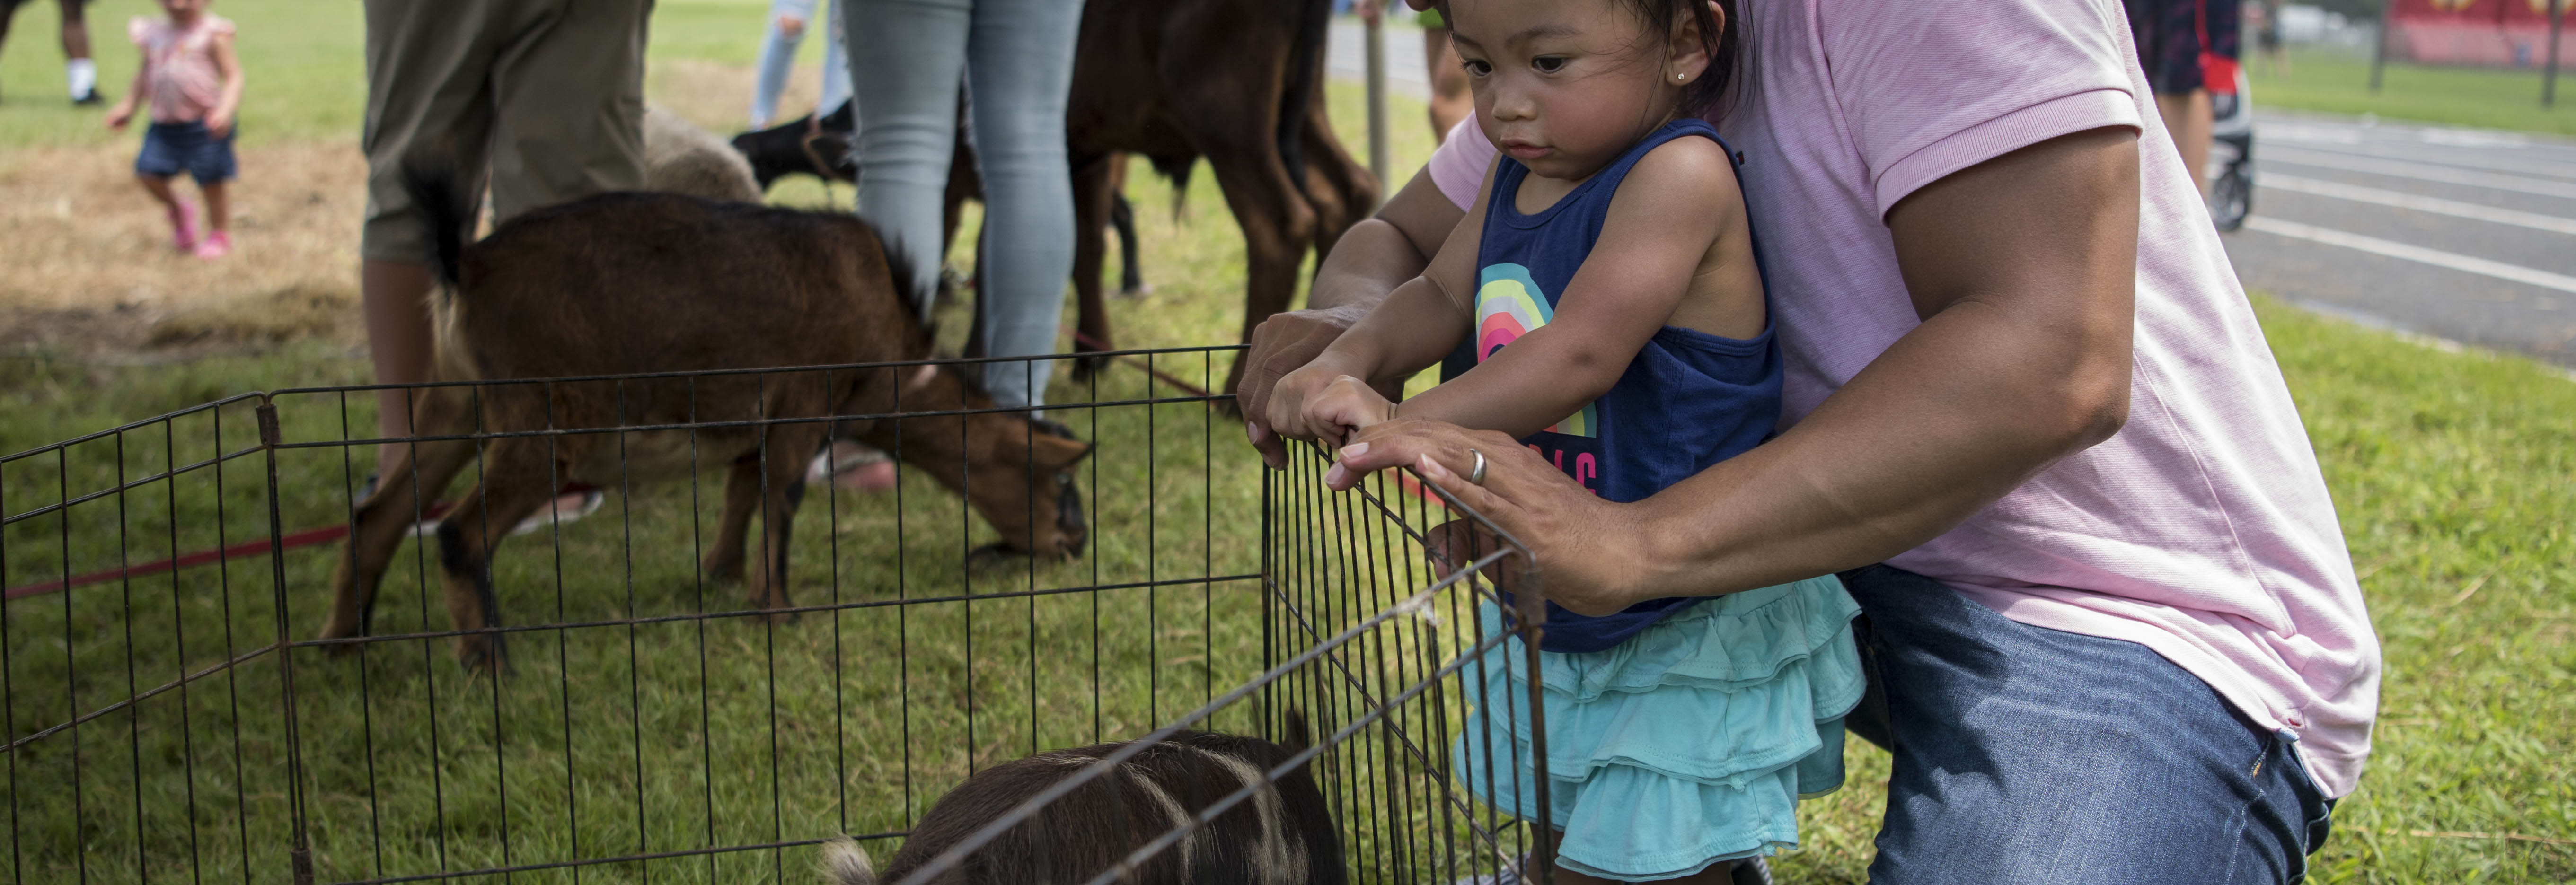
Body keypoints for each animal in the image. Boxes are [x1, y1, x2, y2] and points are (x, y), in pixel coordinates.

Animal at [319, 175, 1087, 669]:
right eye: (1062, 486)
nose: (1073, 545)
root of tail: (465, 262)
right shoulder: (803, 405)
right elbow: (781, 499)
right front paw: (777, 610)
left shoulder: (754, 420)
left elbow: (742, 491)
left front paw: (718, 575)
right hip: (545, 422)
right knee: (457, 532)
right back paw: (486, 660)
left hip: (454, 403)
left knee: (378, 515)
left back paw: (342, 643)